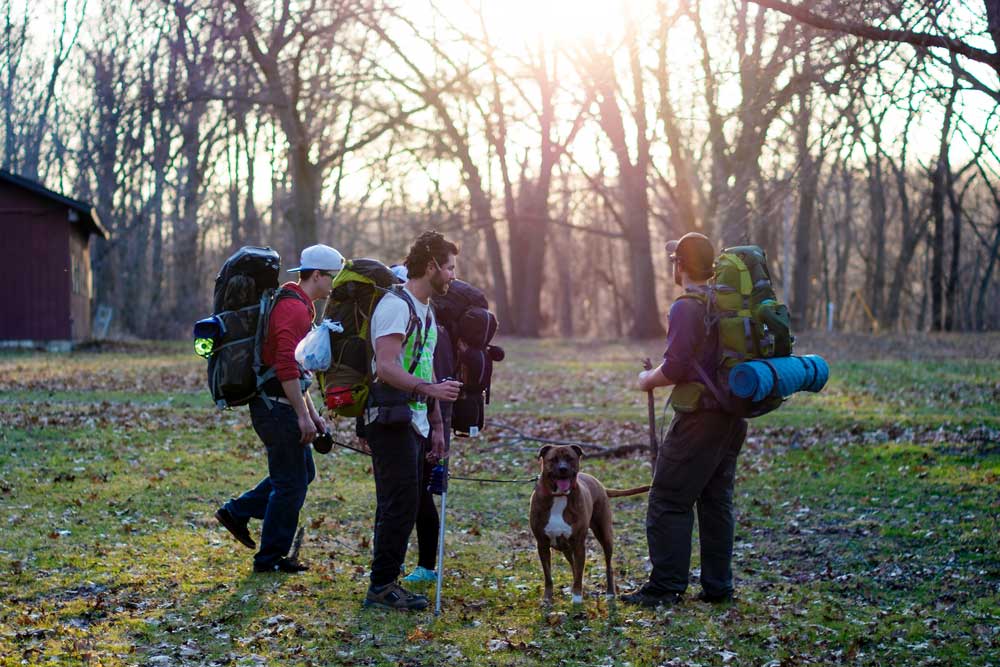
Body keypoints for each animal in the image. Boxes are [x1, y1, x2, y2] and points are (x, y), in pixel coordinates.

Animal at [532, 444, 648, 604]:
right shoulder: (542, 545)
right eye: (553, 459)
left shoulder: (579, 544)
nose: (563, 469)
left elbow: (579, 573)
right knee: (573, 566)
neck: (559, 496)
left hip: (605, 535)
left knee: (608, 565)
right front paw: (547, 599)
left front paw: (577, 598)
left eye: (570, 458)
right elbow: (548, 576)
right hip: (567, 548)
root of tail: (600, 485)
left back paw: (610, 593)